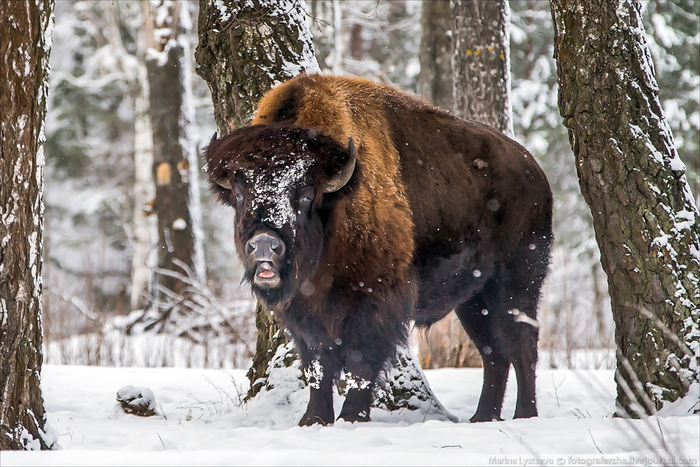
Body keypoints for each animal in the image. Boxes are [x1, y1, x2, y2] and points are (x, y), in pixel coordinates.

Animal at [202, 76, 552, 428]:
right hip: (472, 298)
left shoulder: (374, 302)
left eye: (306, 195)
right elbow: (317, 366)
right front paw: (313, 420)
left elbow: (361, 363)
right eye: (241, 193)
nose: (264, 244)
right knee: (493, 353)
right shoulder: (304, 315)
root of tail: (534, 170)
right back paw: (483, 417)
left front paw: (351, 417)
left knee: (521, 346)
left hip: (517, 282)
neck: (337, 205)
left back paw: (524, 414)